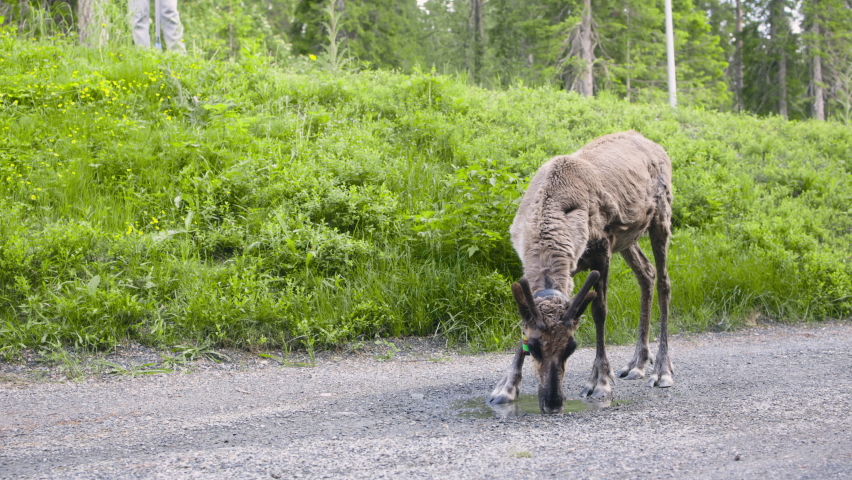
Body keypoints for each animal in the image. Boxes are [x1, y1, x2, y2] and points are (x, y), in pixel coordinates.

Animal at [487, 130, 673, 414]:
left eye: (572, 347)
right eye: (533, 347)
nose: (553, 403)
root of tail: (650, 141)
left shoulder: (602, 251)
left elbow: (599, 311)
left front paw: (599, 381)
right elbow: (526, 315)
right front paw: (505, 388)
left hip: (660, 216)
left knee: (664, 281)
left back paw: (662, 370)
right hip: (627, 238)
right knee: (647, 273)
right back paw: (638, 363)